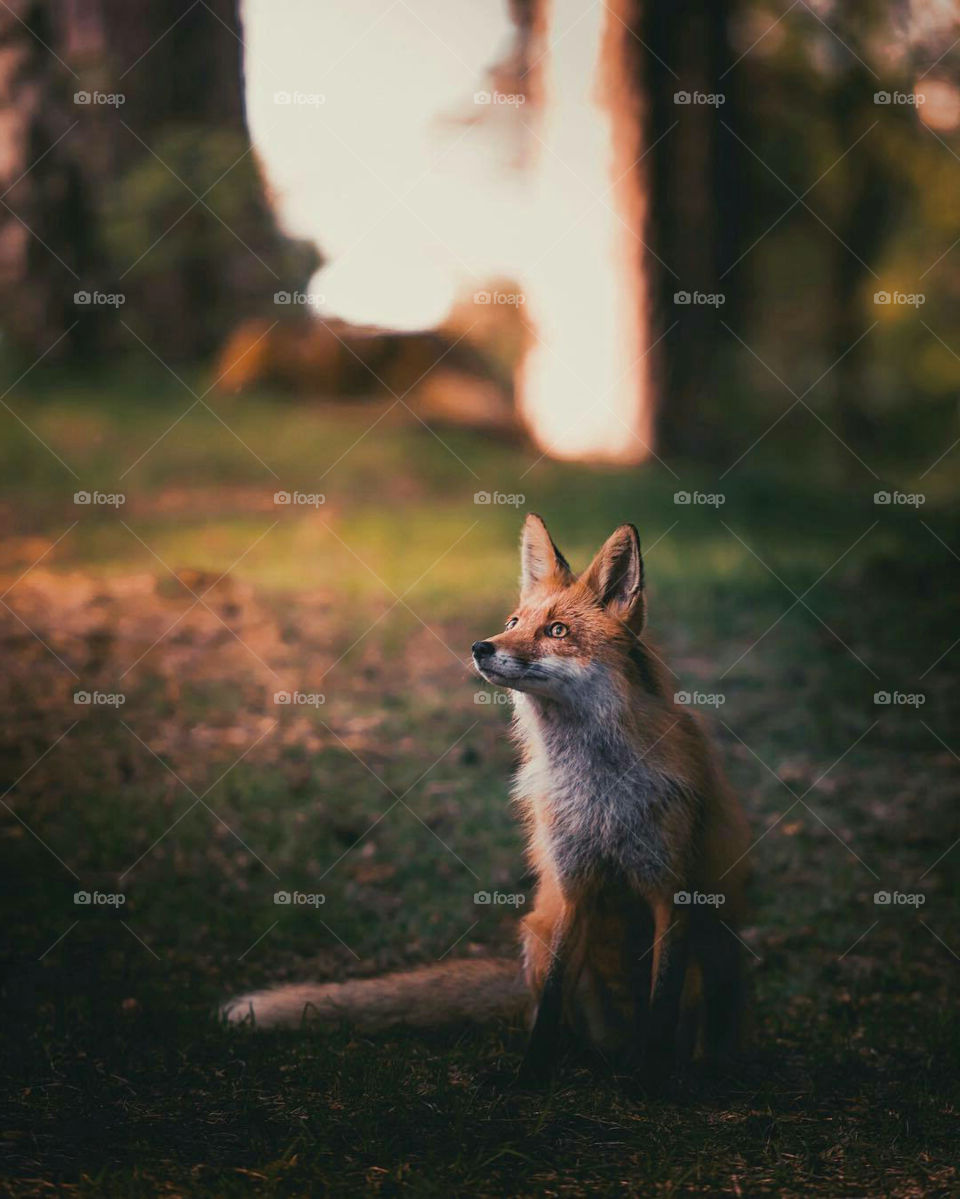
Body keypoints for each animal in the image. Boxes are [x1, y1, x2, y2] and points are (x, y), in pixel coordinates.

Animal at [223, 515, 750, 1086]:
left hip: (715, 951)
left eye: (557, 631)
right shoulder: (573, 888)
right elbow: (549, 1006)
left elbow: (661, 1004)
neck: (601, 792)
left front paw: (650, 1083)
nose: (480, 646)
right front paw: (530, 1079)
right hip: (538, 934)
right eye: (514, 620)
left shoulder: (669, 892)